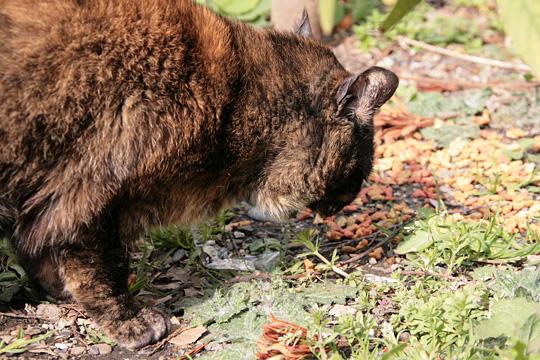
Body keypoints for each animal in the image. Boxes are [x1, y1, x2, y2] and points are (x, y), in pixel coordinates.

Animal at [0, 0, 396, 348]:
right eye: (363, 166)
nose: (350, 199)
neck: (238, 103)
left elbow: (40, 254)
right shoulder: (87, 202)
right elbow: (100, 273)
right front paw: (129, 322)